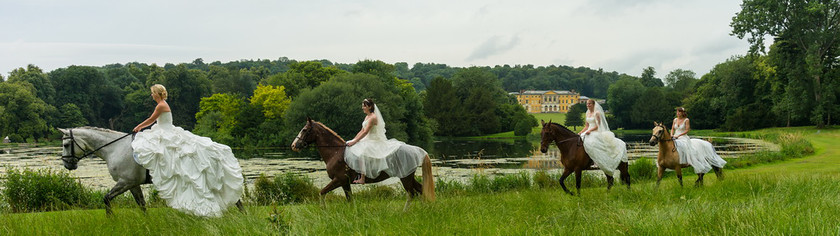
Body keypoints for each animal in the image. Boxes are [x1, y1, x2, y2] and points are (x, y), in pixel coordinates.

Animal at [288, 118, 434, 210]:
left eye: (305, 130)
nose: (294, 145)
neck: (336, 152)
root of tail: (417, 150)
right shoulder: (345, 183)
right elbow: (349, 199)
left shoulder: (339, 180)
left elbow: (322, 192)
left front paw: (323, 210)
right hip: (409, 176)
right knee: (421, 190)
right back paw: (424, 209)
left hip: (405, 177)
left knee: (412, 194)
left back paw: (405, 212)